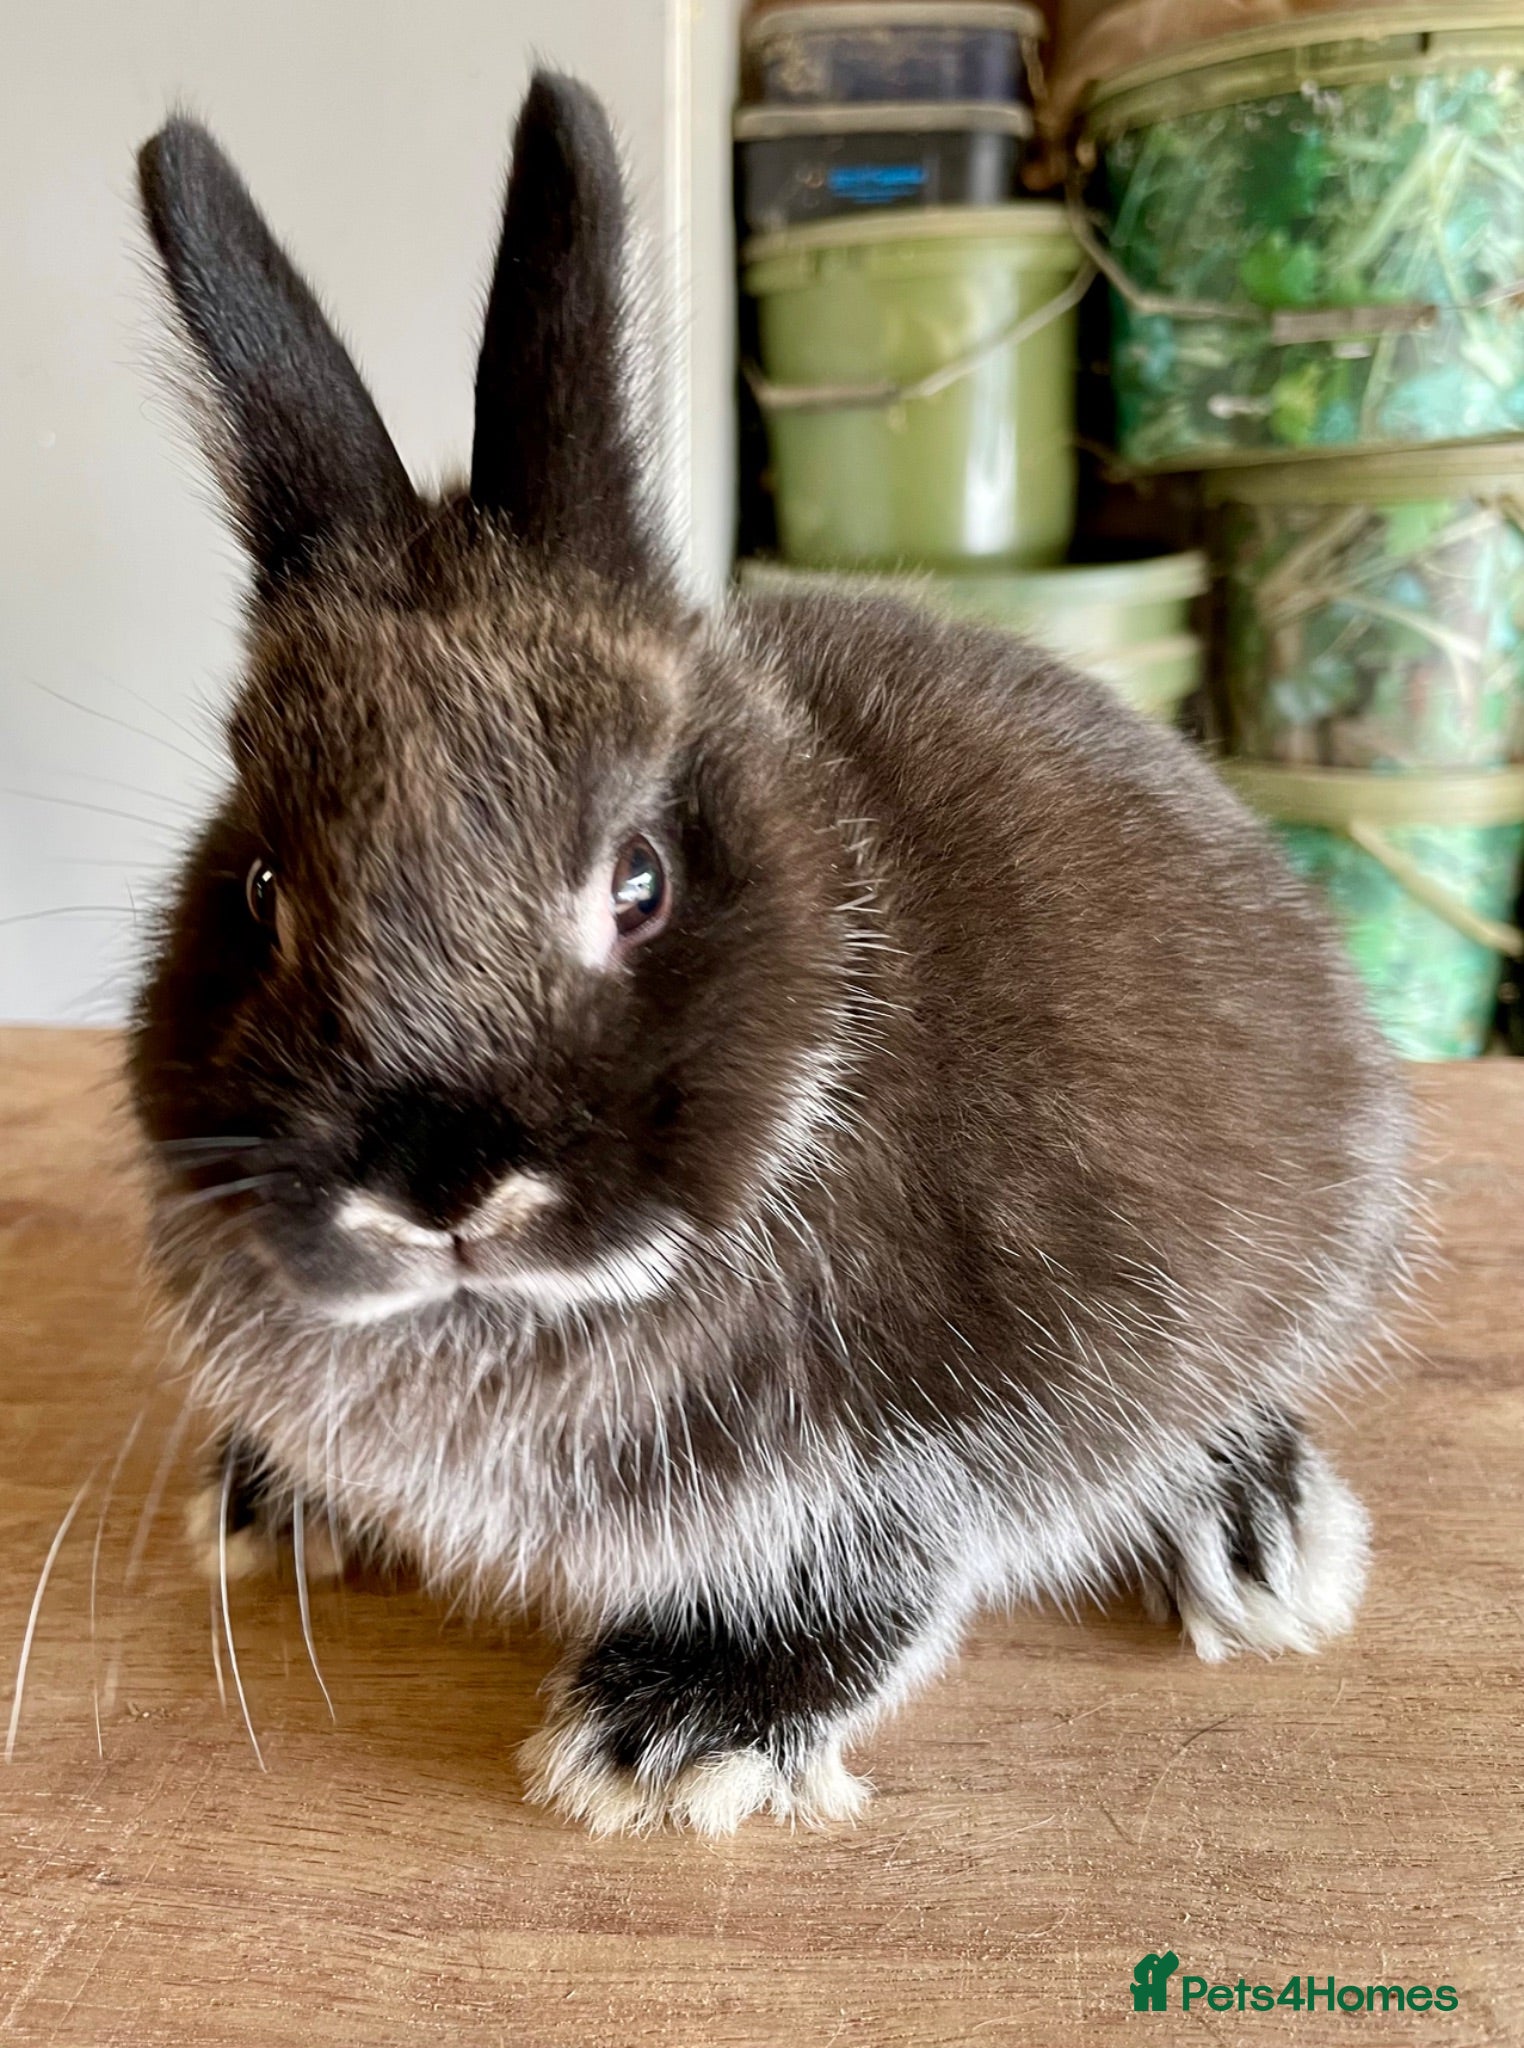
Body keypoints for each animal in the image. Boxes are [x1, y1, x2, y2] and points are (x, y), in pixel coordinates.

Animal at [128, 72, 1412, 1837]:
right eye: (257, 886)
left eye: (639, 881)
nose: (440, 1190)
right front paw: (267, 1502)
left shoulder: (929, 1435)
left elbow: (880, 1574)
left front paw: (672, 1738)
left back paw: (1263, 1538)